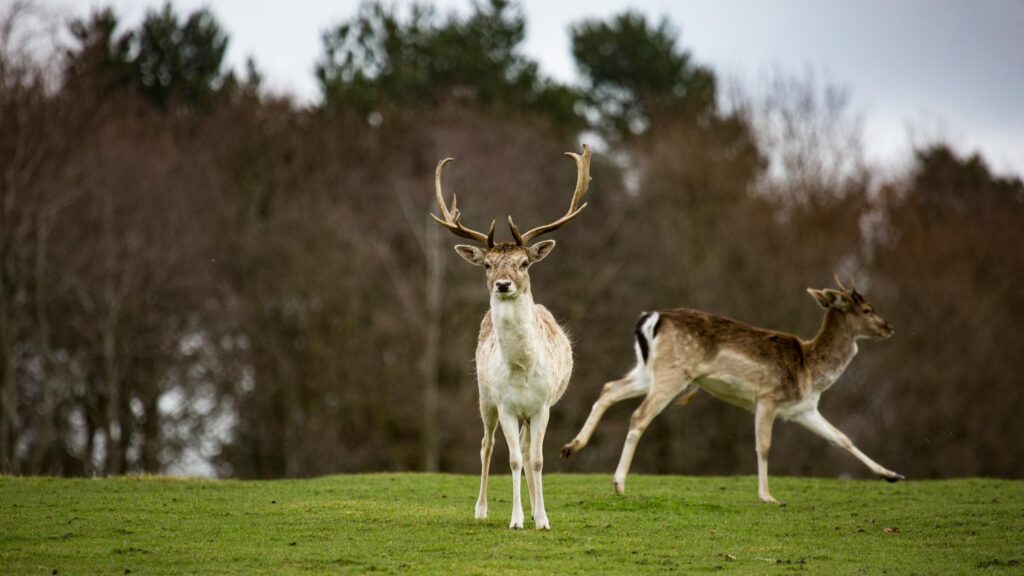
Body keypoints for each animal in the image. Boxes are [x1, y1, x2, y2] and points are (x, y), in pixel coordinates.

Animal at [431, 145, 592, 529]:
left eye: (524, 263)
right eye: (488, 265)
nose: (503, 284)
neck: (521, 370)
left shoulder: (543, 405)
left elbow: (537, 460)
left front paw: (542, 518)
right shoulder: (505, 404)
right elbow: (514, 460)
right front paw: (516, 520)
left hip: (528, 412)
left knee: (526, 448)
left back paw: (535, 509)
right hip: (484, 396)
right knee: (486, 445)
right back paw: (482, 509)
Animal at [560, 277, 904, 504]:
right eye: (868, 309)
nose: (889, 327)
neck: (811, 369)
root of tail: (650, 318)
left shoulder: (803, 409)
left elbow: (842, 438)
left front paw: (892, 475)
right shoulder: (767, 397)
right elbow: (763, 446)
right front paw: (767, 496)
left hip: (647, 371)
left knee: (609, 388)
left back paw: (571, 447)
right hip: (674, 372)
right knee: (638, 416)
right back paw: (618, 483)